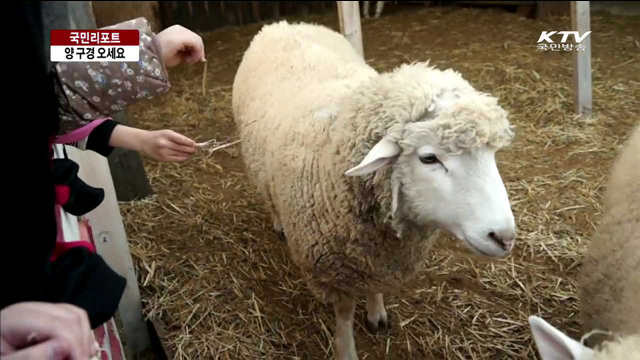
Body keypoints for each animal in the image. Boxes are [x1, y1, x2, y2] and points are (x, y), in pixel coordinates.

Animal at [232, 21, 516, 358]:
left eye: (492, 154)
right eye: (429, 158)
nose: (504, 237)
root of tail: (283, 24)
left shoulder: (377, 261)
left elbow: (375, 288)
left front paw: (377, 313)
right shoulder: (333, 272)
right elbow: (344, 315)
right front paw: (346, 349)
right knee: (268, 197)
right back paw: (278, 223)